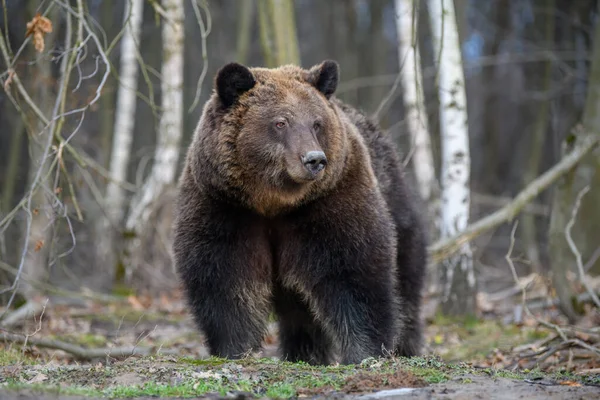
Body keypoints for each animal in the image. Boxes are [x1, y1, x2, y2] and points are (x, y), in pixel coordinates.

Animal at [172, 60, 426, 366]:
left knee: (405, 284)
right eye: (280, 122)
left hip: (396, 203)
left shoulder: (329, 201)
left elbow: (353, 271)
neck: (273, 202)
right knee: (300, 314)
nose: (314, 159)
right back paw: (305, 354)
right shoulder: (225, 207)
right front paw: (236, 348)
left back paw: (404, 346)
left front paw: (365, 352)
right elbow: (225, 279)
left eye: (316, 123)